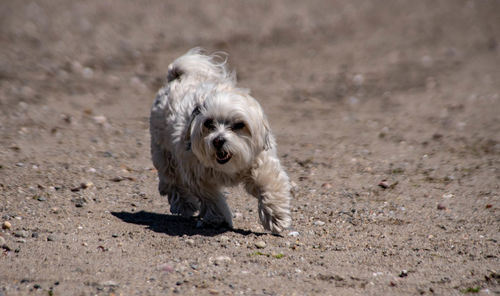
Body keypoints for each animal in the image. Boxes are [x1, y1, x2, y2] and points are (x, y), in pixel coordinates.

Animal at [148, 48, 292, 234]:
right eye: (209, 123)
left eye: (239, 125)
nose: (218, 140)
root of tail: (177, 77)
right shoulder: (197, 175)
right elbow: (211, 198)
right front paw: (220, 218)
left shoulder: (261, 163)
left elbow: (269, 186)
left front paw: (276, 217)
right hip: (163, 152)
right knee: (172, 180)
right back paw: (185, 204)